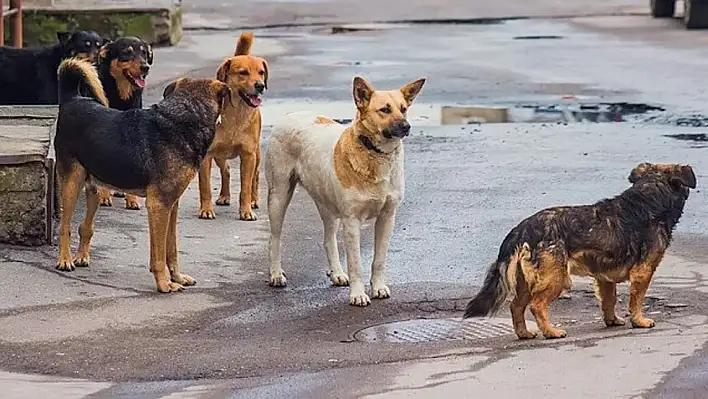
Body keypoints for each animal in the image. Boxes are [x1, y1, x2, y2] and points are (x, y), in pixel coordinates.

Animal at [198, 32, 266, 222]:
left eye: (261, 72)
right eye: (243, 73)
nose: (260, 86)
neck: (236, 114)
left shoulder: (248, 155)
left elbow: (245, 187)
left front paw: (246, 210)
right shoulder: (206, 155)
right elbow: (205, 187)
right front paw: (206, 209)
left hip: (256, 154)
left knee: (256, 176)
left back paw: (254, 200)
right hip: (220, 155)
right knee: (226, 171)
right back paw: (224, 196)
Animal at [262, 76, 424, 306]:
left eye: (403, 109)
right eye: (384, 109)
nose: (406, 126)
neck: (375, 154)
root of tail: (291, 115)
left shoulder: (387, 217)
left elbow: (379, 260)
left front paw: (378, 287)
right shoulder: (352, 221)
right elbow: (356, 264)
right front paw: (358, 295)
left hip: (327, 204)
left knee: (328, 239)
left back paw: (337, 273)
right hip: (279, 195)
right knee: (274, 238)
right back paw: (276, 274)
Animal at [464, 162, 696, 340]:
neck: (649, 197)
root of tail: (522, 229)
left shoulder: (604, 277)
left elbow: (609, 300)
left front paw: (612, 320)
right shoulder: (643, 271)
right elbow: (636, 300)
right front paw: (639, 320)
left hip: (526, 281)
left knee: (516, 306)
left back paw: (524, 333)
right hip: (555, 278)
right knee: (537, 306)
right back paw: (551, 332)